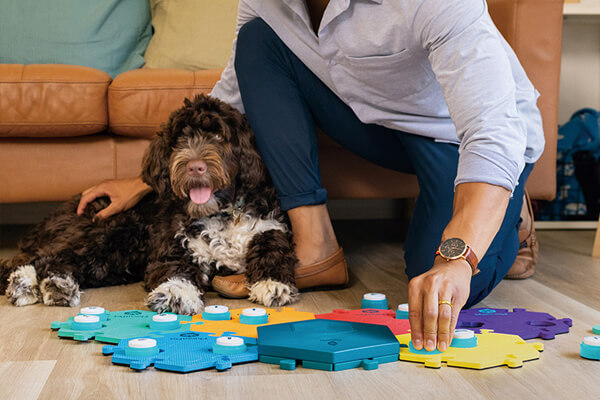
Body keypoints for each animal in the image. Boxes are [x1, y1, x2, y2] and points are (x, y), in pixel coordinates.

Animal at [0, 95, 300, 314]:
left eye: (218, 136)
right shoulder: (173, 246)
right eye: (179, 139)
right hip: (111, 232)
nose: (195, 167)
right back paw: (38, 283)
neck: (222, 212)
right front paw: (175, 294)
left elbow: (273, 250)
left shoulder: (270, 227)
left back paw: (40, 285)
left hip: (116, 259)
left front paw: (272, 284)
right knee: (44, 258)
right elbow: (176, 270)